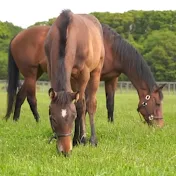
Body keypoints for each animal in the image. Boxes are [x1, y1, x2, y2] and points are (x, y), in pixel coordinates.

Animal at [44, 10, 104, 155]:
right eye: (53, 118)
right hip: (72, 78)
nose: (65, 151)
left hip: (95, 72)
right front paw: (78, 139)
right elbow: (78, 105)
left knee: (89, 104)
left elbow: (80, 106)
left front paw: (79, 139)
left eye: (72, 117)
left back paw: (91, 139)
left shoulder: (84, 74)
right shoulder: (50, 67)